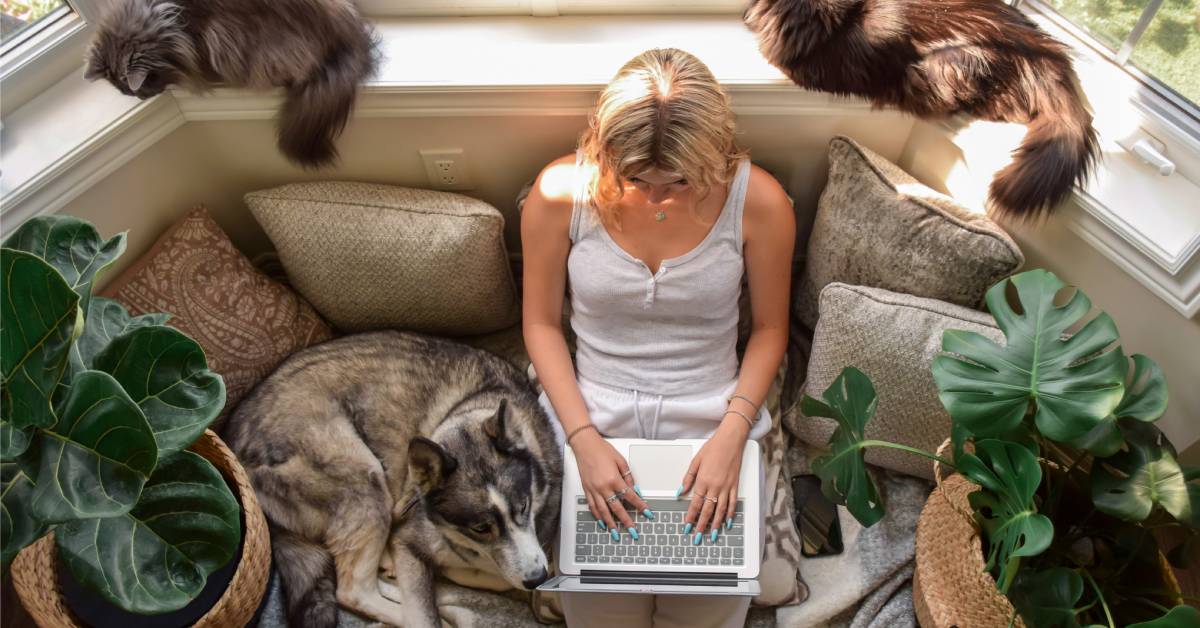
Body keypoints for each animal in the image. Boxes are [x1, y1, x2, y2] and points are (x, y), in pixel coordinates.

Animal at [225, 331, 561, 624]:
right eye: (479, 528)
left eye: (524, 507)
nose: (537, 579)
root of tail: (237, 441)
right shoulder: (412, 537)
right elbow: (430, 604)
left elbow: (498, 575)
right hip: (364, 475)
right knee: (354, 592)